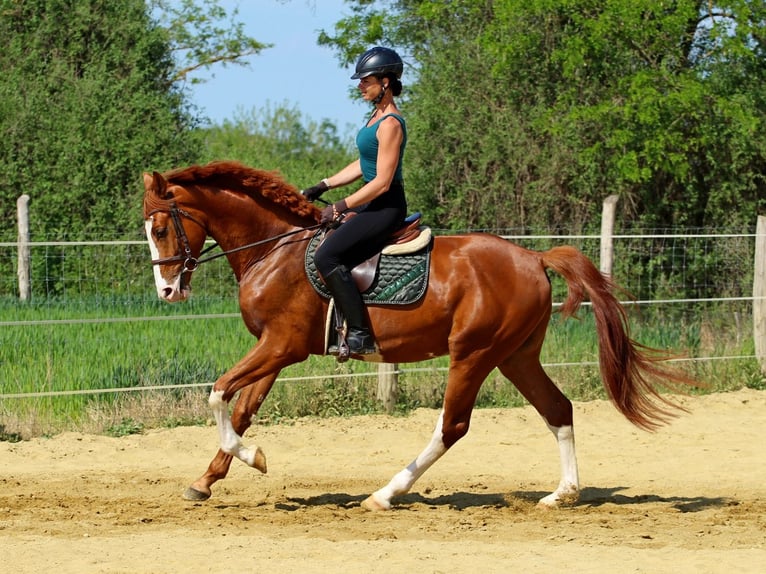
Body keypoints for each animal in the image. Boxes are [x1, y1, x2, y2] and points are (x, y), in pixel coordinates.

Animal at [142, 160, 697, 510]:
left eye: (162, 229)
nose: (168, 291)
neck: (275, 250)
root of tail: (534, 258)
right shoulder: (275, 350)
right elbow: (241, 410)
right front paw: (206, 481)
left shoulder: (282, 346)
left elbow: (217, 394)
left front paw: (251, 458)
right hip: (516, 356)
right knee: (557, 409)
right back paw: (562, 494)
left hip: (473, 354)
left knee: (452, 427)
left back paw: (386, 494)